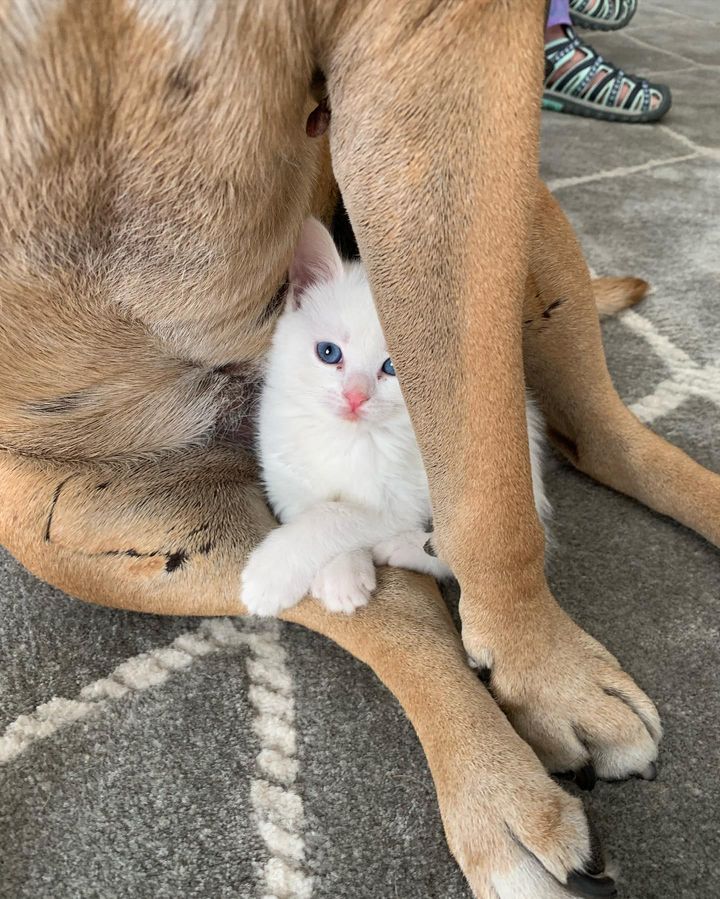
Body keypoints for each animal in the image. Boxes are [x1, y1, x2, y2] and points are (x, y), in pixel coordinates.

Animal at [239, 218, 548, 620]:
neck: (346, 436)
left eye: (392, 368)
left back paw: (401, 548)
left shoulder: (401, 500)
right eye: (328, 352)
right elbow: (313, 506)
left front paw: (272, 577)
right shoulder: (284, 473)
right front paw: (340, 574)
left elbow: (336, 515)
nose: (355, 396)